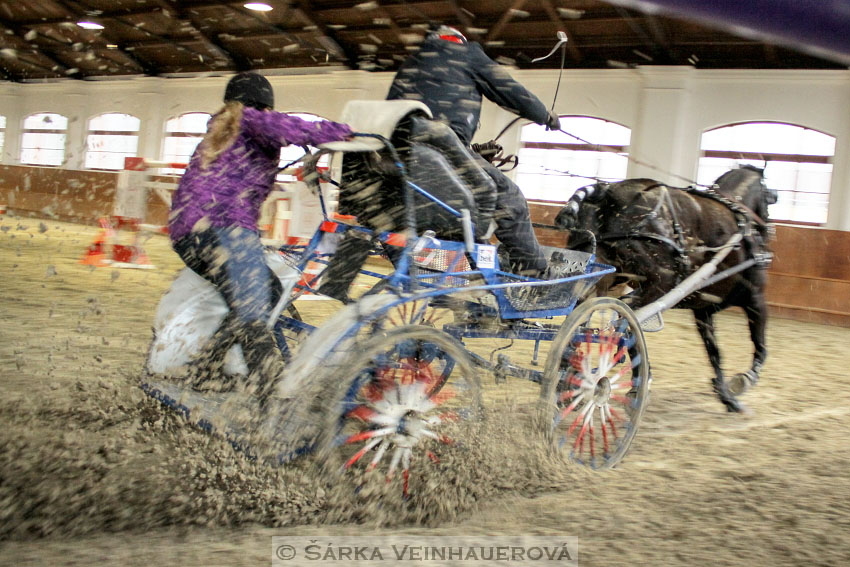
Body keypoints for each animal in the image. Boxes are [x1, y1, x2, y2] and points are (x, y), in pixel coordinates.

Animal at [556, 165, 776, 412]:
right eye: (768, 199)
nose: (767, 231)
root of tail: (606, 191)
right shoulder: (756, 298)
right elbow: (760, 346)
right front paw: (744, 380)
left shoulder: (703, 310)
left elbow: (714, 353)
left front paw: (726, 396)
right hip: (661, 283)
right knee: (626, 326)